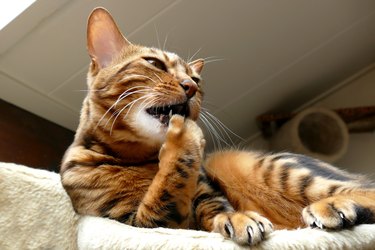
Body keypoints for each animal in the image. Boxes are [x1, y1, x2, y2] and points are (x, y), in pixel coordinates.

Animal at [59, 6, 375, 246]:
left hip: (263, 166)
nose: (189, 86)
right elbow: (165, 192)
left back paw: (334, 205)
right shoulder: (137, 222)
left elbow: (213, 205)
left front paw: (238, 217)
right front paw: (183, 137)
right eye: (154, 63)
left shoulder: (203, 188)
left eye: (197, 81)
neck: (138, 160)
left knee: (361, 188)